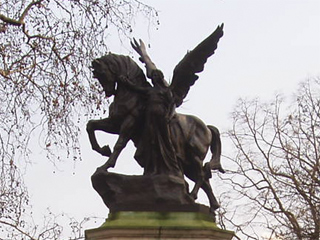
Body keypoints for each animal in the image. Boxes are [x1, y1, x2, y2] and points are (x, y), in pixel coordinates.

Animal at [87, 53, 222, 211]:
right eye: (96, 75)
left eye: (102, 73)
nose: (108, 92)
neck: (131, 94)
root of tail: (207, 128)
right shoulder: (114, 122)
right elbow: (91, 126)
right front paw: (103, 149)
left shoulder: (130, 121)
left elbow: (119, 144)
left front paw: (105, 166)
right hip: (187, 162)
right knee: (205, 180)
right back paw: (211, 205)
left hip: (194, 155)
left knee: (201, 175)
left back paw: (192, 196)